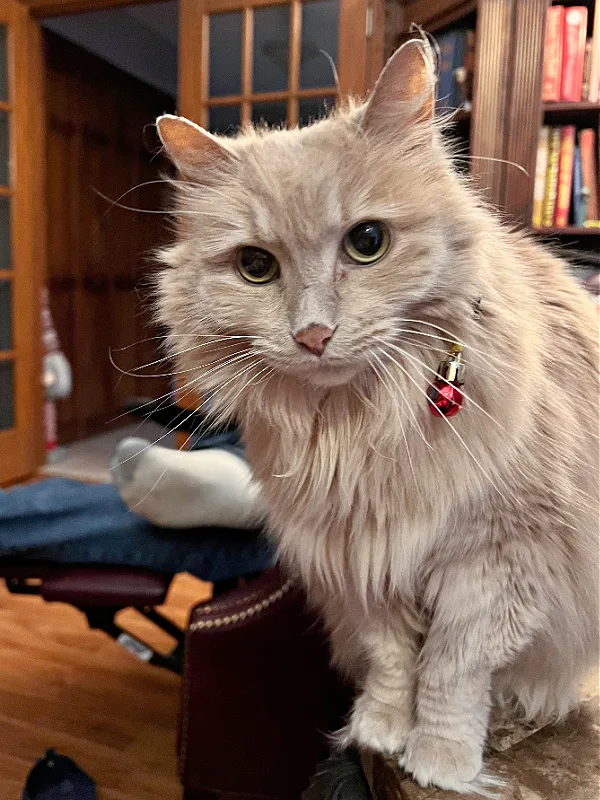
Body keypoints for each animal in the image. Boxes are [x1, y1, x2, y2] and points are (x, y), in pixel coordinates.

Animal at [156, 39, 600, 792]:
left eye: (367, 243)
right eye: (255, 266)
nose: (312, 335)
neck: (357, 426)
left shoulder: (499, 558)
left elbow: (452, 670)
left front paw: (440, 761)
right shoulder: (359, 560)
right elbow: (394, 662)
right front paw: (381, 730)